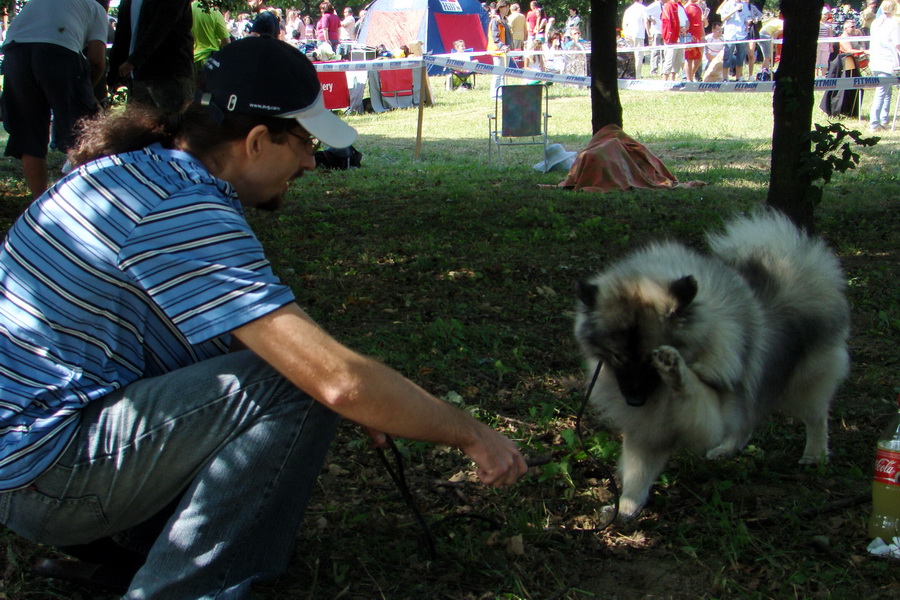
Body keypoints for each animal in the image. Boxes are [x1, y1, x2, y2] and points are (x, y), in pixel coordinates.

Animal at [576, 212, 852, 520]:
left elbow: (695, 392)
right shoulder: (647, 425)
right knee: (746, 418)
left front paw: (676, 369)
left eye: (650, 359)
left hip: (803, 383)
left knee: (816, 418)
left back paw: (815, 455)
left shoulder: (710, 409)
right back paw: (728, 449)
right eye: (618, 357)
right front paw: (626, 506)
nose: (634, 401)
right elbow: (639, 471)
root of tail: (801, 258)